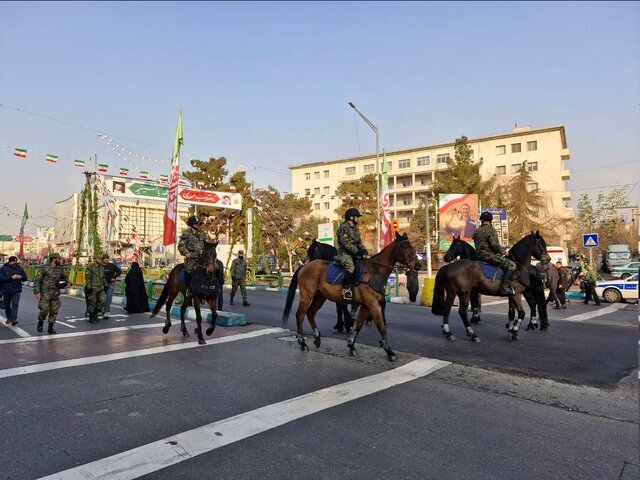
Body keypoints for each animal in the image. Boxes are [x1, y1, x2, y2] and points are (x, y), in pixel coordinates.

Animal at [282, 231, 422, 362]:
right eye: (404, 246)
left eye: (410, 245)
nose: (418, 265)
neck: (374, 270)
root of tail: (304, 267)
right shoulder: (372, 304)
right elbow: (381, 327)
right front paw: (389, 351)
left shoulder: (366, 305)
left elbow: (358, 325)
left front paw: (351, 345)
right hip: (306, 296)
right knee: (300, 315)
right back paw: (302, 342)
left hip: (320, 297)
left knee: (310, 313)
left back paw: (317, 338)